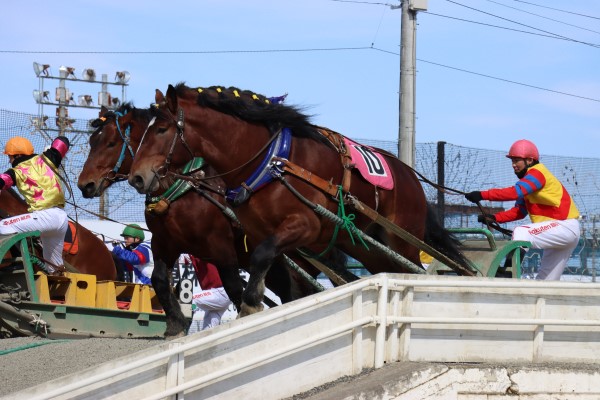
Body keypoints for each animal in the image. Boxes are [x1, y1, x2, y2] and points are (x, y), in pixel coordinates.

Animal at [78, 103, 326, 338]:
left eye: (111, 143)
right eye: (92, 141)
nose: (85, 184)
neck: (184, 192)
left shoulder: (220, 245)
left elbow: (233, 286)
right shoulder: (164, 243)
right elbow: (159, 280)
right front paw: (175, 325)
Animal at [129, 83, 472, 316]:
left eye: (161, 129)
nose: (137, 177)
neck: (271, 162)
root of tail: (410, 176)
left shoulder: (303, 227)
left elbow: (261, 262)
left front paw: (251, 305)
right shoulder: (257, 236)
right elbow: (274, 274)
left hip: (401, 240)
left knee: (412, 269)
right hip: (366, 245)